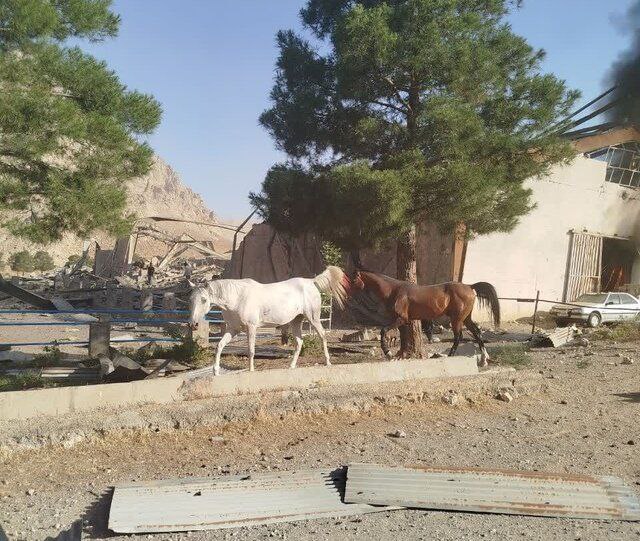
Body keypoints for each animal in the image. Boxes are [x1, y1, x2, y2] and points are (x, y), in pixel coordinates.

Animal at [188, 266, 350, 375]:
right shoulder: (233, 329)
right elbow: (219, 346)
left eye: (204, 299)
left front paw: (251, 370)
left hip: (313, 318)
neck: (237, 297)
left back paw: (328, 362)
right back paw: (291, 366)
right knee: (299, 342)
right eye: (191, 299)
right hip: (296, 321)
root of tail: (311, 282)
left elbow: (251, 350)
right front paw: (215, 372)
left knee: (322, 336)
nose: (193, 324)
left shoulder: (251, 327)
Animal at [351, 270, 500, 365]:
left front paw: (389, 354)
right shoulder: (402, 321)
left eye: (353, 280)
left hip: (457, 319)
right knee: (477, 333)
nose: (349, 294)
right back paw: (484, 359)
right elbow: (400, 336)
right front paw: (398, 355)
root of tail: (469, 287)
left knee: (459, 336)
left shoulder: (401, 319)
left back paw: (450, 356)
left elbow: (383, 331)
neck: (394, 291)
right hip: (466, 319)